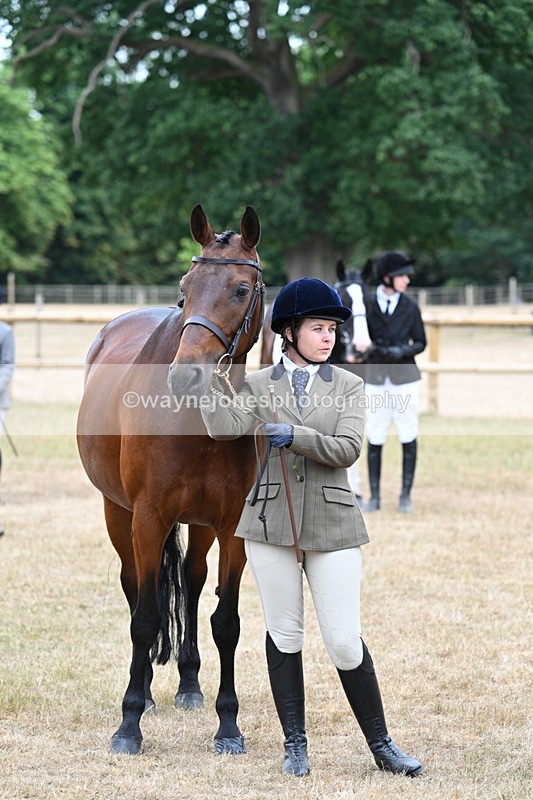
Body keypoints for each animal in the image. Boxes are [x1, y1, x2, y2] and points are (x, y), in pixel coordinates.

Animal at [77, 205, 265, 756]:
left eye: (241, 289)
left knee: (192, 580)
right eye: (186, 288)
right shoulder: (147, 518)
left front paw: (229, 726)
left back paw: (188, 684)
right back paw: (145, 693)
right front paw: (128, 724)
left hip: (199, 525)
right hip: (118, 513)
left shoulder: (230, 527)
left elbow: (226, 622)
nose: (187, 375)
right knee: (135, 588)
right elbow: (143, 618)